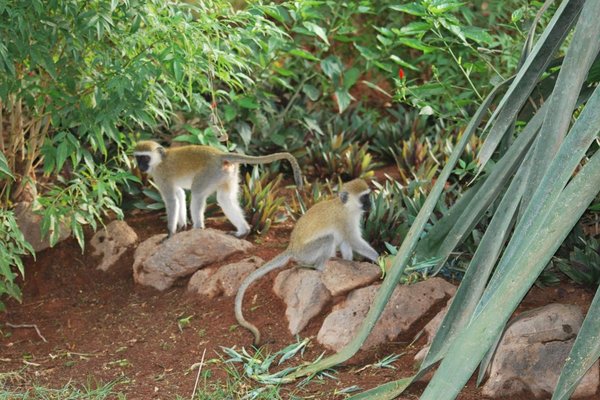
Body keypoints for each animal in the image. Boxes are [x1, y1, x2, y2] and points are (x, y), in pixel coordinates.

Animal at [134, 141, 302, 238]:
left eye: (145, 158)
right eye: (138, 158)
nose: (140, 166)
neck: (160, 161)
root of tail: (219, 155)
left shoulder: (161, 176)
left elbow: (172, 200)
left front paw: (170, 233)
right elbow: (180, 195)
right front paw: (181, 226)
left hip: (208, 173)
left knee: (197, 194)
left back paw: (198, 228)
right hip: (227, 174)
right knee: (224, 199)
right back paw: (243, 232)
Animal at [233, 178, 378, 344]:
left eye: (368, 196)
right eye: (364, 198)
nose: (370, 204)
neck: (345, 207)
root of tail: (292, 247)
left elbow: (346, 243)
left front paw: (350, 263)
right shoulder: (344, 220)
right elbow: (353, 240)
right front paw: (382, 258)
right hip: (307, 252)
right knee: (329, 239)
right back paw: (320, 269)